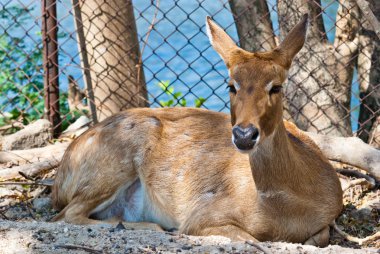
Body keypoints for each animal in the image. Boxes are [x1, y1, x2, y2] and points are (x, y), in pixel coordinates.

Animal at [52, 13, 342, 246]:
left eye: (276, 87)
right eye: (231, 85)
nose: (244, 135)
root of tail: (61, 174)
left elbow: (321, 235)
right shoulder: (202, 214)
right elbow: (248, 237)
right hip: (115, 160)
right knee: (66, 214)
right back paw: (153, 226)